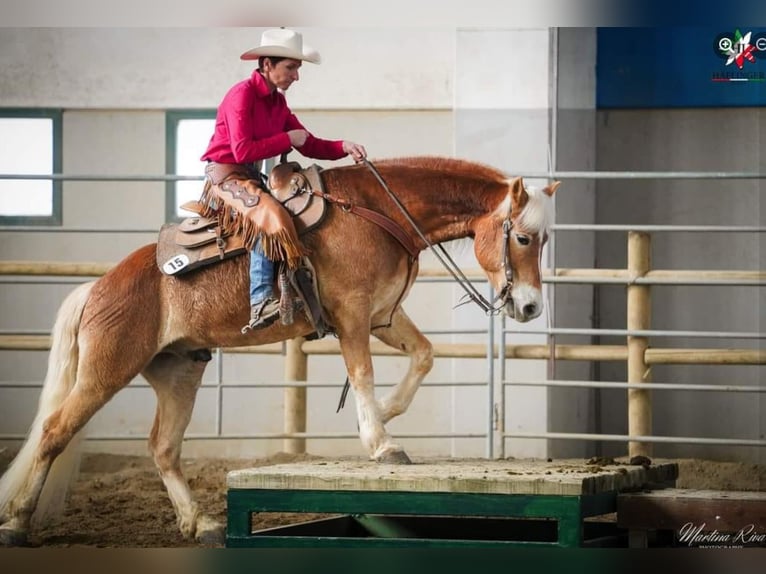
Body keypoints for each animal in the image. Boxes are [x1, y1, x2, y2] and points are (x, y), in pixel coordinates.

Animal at [0, 155, 560, 548]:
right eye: (524, 238)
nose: (531, 306)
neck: (377, 213)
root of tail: (98, 287)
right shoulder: (353, 315)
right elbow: (363, 373)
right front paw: (381, 442)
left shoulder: (384, 315)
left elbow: (423, 356)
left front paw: (385, 413)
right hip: (106, 371)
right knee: (53, 432)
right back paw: (18, 523)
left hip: (179, 372)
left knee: (163, 448)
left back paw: (200, 523)